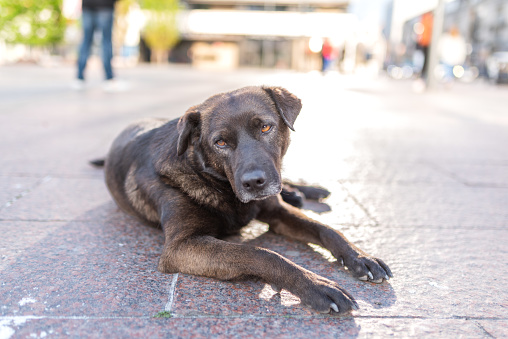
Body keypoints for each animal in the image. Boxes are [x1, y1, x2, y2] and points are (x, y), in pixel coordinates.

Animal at [96, 86, 392, 314]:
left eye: (265, 127)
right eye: (220, 143)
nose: (254, 182)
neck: (218, 183)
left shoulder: (275, 211)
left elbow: (327, 229)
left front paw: (360, 256)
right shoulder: (181, 247)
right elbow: (261, 253)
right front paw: (316, 285)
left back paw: (305, 190)